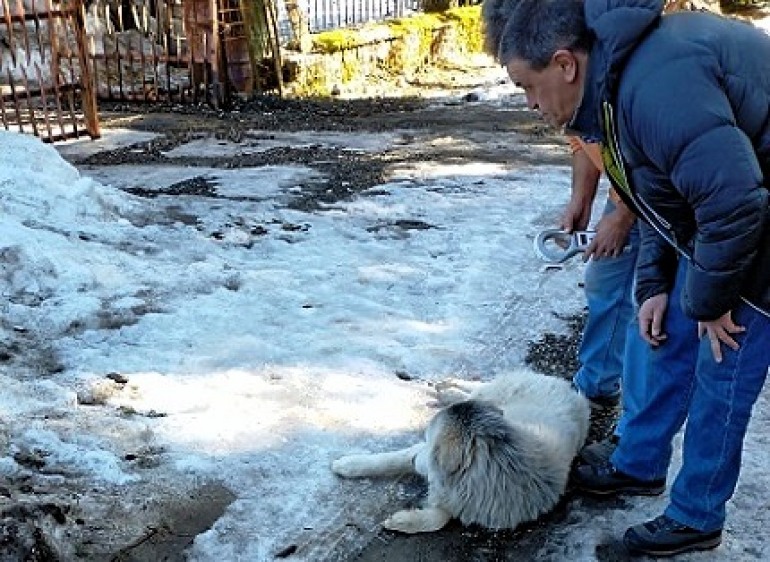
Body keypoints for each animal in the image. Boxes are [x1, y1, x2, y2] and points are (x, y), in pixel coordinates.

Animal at [330, 370, 588, 532]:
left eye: (432, 448)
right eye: (426, 441)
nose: (414, 461)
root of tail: (567, 388)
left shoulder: (464, 501)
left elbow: (441, 518)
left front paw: (402, 521)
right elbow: (389, 460)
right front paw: (348, 465)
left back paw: (448, 390)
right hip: (492, 394)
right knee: (478, 388)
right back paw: (448, 388)